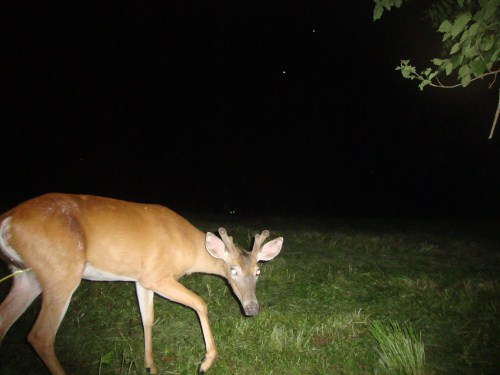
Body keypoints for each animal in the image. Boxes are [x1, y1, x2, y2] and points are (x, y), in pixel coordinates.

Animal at [0, 194, 284, 375]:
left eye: (258, 271)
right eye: (232, 271)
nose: (252, 309)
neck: (187, 246)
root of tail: (7, 220)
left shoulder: (142, 279)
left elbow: (147, 319)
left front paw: (151, 366)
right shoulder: (157, 276)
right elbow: (200, 303)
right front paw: (205, 363)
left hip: (26, 276)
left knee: (6, 322)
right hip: (61, 271)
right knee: (40, 336)